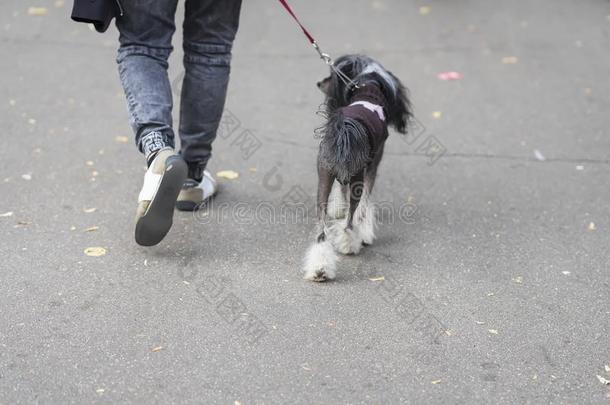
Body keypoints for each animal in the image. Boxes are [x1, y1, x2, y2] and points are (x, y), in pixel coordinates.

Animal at [302, 53, 410, 280]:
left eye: (333, 75)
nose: (319, 82)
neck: (367, 89)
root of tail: (345, 130)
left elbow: (340, 191)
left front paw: (337, 209)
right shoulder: (372, 166)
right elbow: (364, 206)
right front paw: (365, 232)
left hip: (324, 177)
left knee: (321, 231)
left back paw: (320, 269)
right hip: (357, 178)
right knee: (350, 220)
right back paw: (349, 244)